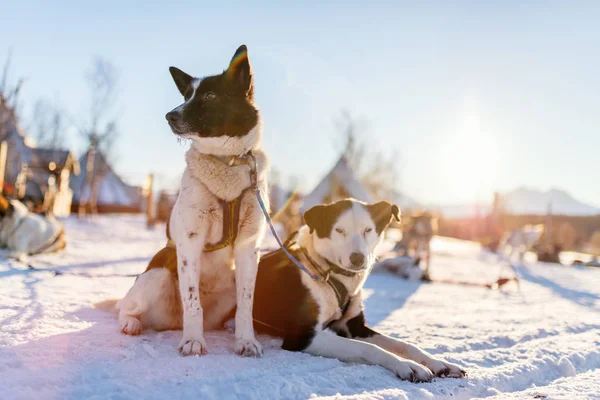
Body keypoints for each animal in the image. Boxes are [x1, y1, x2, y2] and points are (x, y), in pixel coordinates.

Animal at [113, 45, 272, 358]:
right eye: (187, 96)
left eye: (209, 96)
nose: (169, 116)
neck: (227, 161)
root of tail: (173, 322)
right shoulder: (190, 240)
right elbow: (192, 300)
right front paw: (193, 341)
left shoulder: (249, 246)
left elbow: (246, 303)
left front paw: (246, 340)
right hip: (157, 274)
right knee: (126, 307)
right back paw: (132, 324)